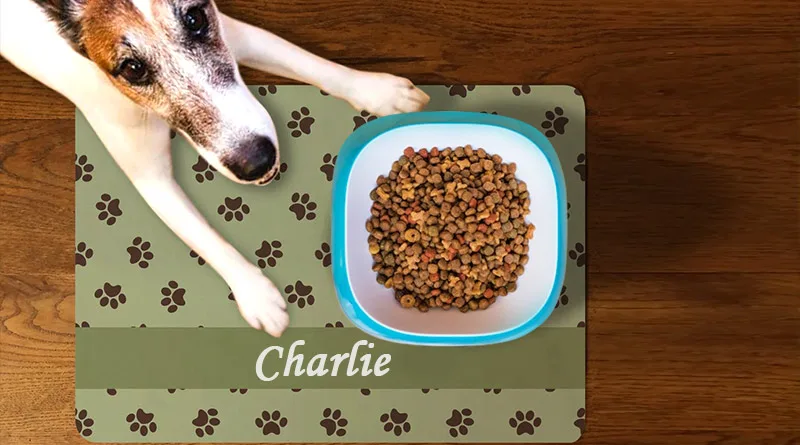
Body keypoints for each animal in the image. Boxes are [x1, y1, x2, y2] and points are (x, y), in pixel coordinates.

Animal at [0, 0, 432, 336]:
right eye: (133, 69)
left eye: (194, 19)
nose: (257, 160)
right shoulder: (150, 177)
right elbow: (209, 240)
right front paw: (257, 296)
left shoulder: (235, 32)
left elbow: (312, 64)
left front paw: (377, 91)